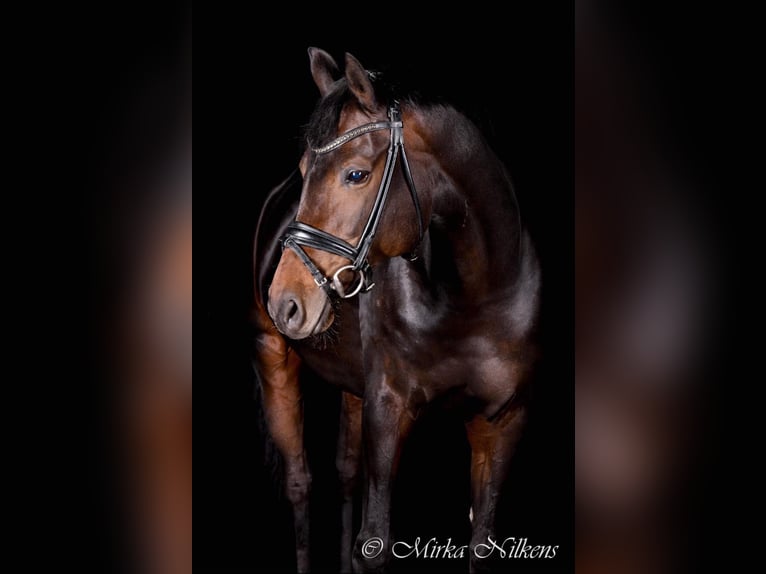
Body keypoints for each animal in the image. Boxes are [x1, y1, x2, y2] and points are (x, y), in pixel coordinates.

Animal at [252, 47, 540, 573]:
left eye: (356, 174)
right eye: (304, 171)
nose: (286, 301)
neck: (474, 297)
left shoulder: (504, 420)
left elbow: (482, 543)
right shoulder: (388, 410)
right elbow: (374, 545)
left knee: (346, 473)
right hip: (272, 356)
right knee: (300, 483)